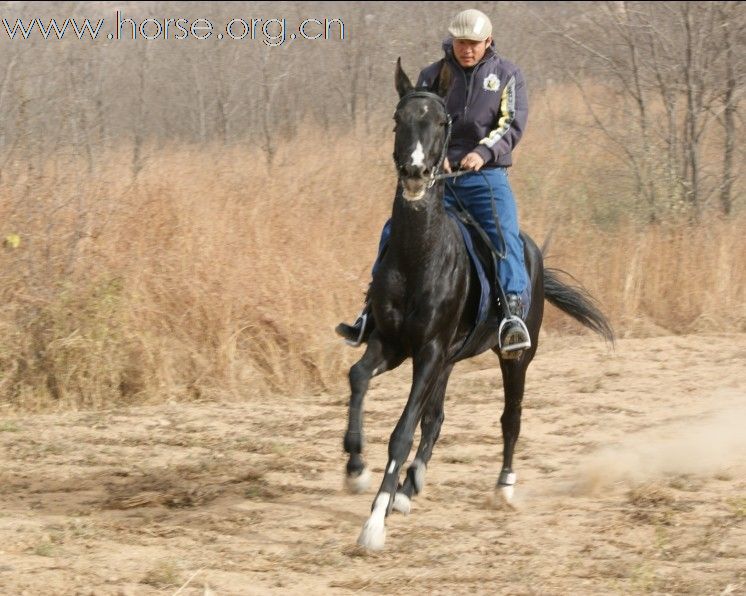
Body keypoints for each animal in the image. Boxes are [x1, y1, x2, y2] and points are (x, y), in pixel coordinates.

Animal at [342, 59, 612, 548]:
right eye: (398, 119)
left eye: (441, 121)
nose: (414, 173)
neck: (419, 255)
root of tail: (533, 252)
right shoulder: (395, 345)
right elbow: (358, 378)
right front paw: (356, 468)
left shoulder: (428, 352)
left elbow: (402, 431)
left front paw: (373, 524)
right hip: (448, 361)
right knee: (437, 418)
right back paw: (409, 488)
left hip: (514, 358)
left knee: (510, 417)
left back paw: (503, 486)